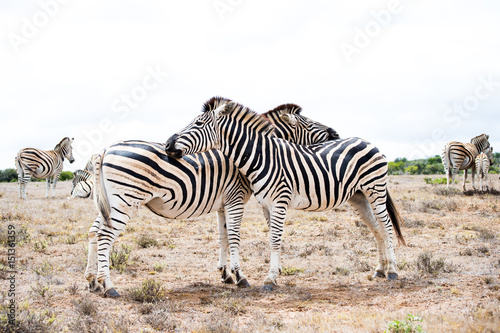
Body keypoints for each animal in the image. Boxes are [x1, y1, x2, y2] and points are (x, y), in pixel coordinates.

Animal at [166, 97, 408, 290]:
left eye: (198, 123)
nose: (168, 144)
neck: (262, 156)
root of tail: (367, 141)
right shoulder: (265, 204)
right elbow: (272, 237)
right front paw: (274, 272)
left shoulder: (279, 201)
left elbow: (274, 239)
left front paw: (270, 278)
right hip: (358, 197)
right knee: (377, 229)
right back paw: (380, 269)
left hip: (375, 190)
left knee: (387, 226)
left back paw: (393, 271)